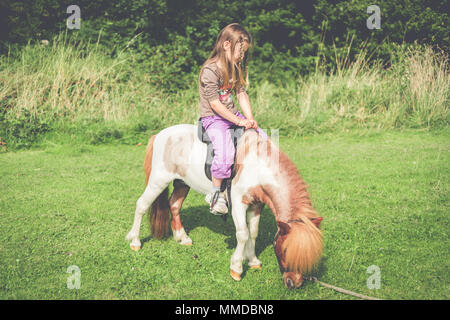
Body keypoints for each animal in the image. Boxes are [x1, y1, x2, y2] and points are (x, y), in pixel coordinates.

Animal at [126, 124, 324, 288]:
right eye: (285, 250)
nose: (294, 283)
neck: (257, 166)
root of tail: (159, 135)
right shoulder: (238, 203)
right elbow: (243, 234)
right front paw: (236, 268)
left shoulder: (256, 205)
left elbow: (253, 232)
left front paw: (252, 260)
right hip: (158, 181)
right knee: (141, 205)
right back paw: (135, 241)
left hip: (182, 183)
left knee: (174, 205)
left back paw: (182, 237)